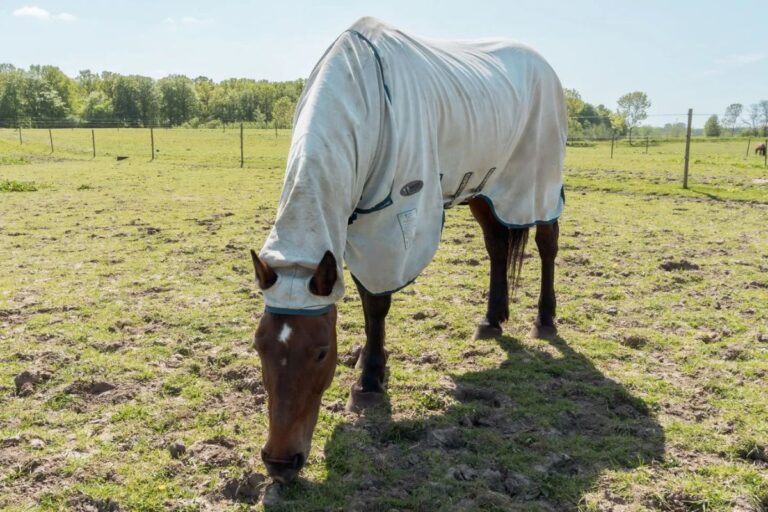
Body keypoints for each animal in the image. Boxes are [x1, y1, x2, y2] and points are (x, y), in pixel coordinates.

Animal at [249, 17, 568, 484]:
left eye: (321, 351)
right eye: (260, 347)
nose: (279, 461)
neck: (363, 95)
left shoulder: (391, 222)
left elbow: (376, 302)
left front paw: (369, 381)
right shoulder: (357, 224)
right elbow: (365, 301)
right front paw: (373, 364)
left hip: (538, 183)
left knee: (547, 243)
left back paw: (544, 320)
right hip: (483, 188)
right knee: (495, 246)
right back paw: (491, 320)